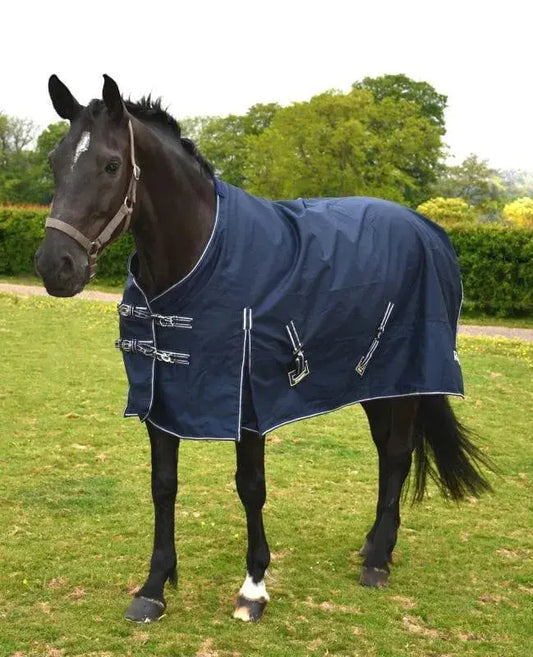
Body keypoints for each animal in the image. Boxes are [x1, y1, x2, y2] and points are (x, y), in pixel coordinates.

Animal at [35, 75, 493, 624]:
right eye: (56, 161)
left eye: (110, 164)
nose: (56, 265)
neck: (201, 258)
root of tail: (427, 229)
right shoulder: (161, 399)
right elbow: (163, 485)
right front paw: (154, 587)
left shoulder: (249, 403)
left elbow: (250, 487)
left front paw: (253, 588)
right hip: (376, 384)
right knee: (387, 454)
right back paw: (374, 544)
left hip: (407, 382)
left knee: (399, 455)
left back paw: (377, 562)